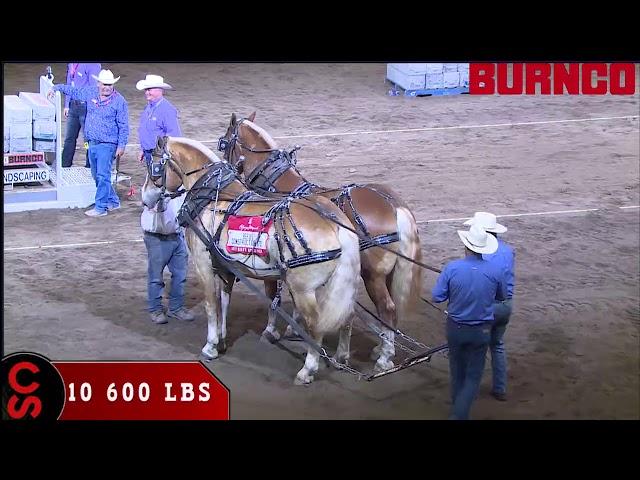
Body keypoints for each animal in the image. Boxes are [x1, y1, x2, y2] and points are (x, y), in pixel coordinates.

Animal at [141, 137, 360, 384]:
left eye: (154, 166)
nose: (145, 198)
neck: (213, 197)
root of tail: (334, 222)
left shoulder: (203, 265)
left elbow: (211, 306)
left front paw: (210, 346)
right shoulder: (226, 267)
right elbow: (224, 302)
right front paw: (222, 340)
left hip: (303, 289)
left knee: (316, 324)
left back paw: (308, 370)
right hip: (336, 285)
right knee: (347, 316)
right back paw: (341, 357)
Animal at [220, 113, 424, 372]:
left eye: (224, 142)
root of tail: (394, 205)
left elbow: (272, 292)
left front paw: (270, 331)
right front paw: (294, 328)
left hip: (373, 274)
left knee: (387, 308)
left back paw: (384, 359)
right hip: (389, 273)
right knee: (389, 310)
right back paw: (381, 348)